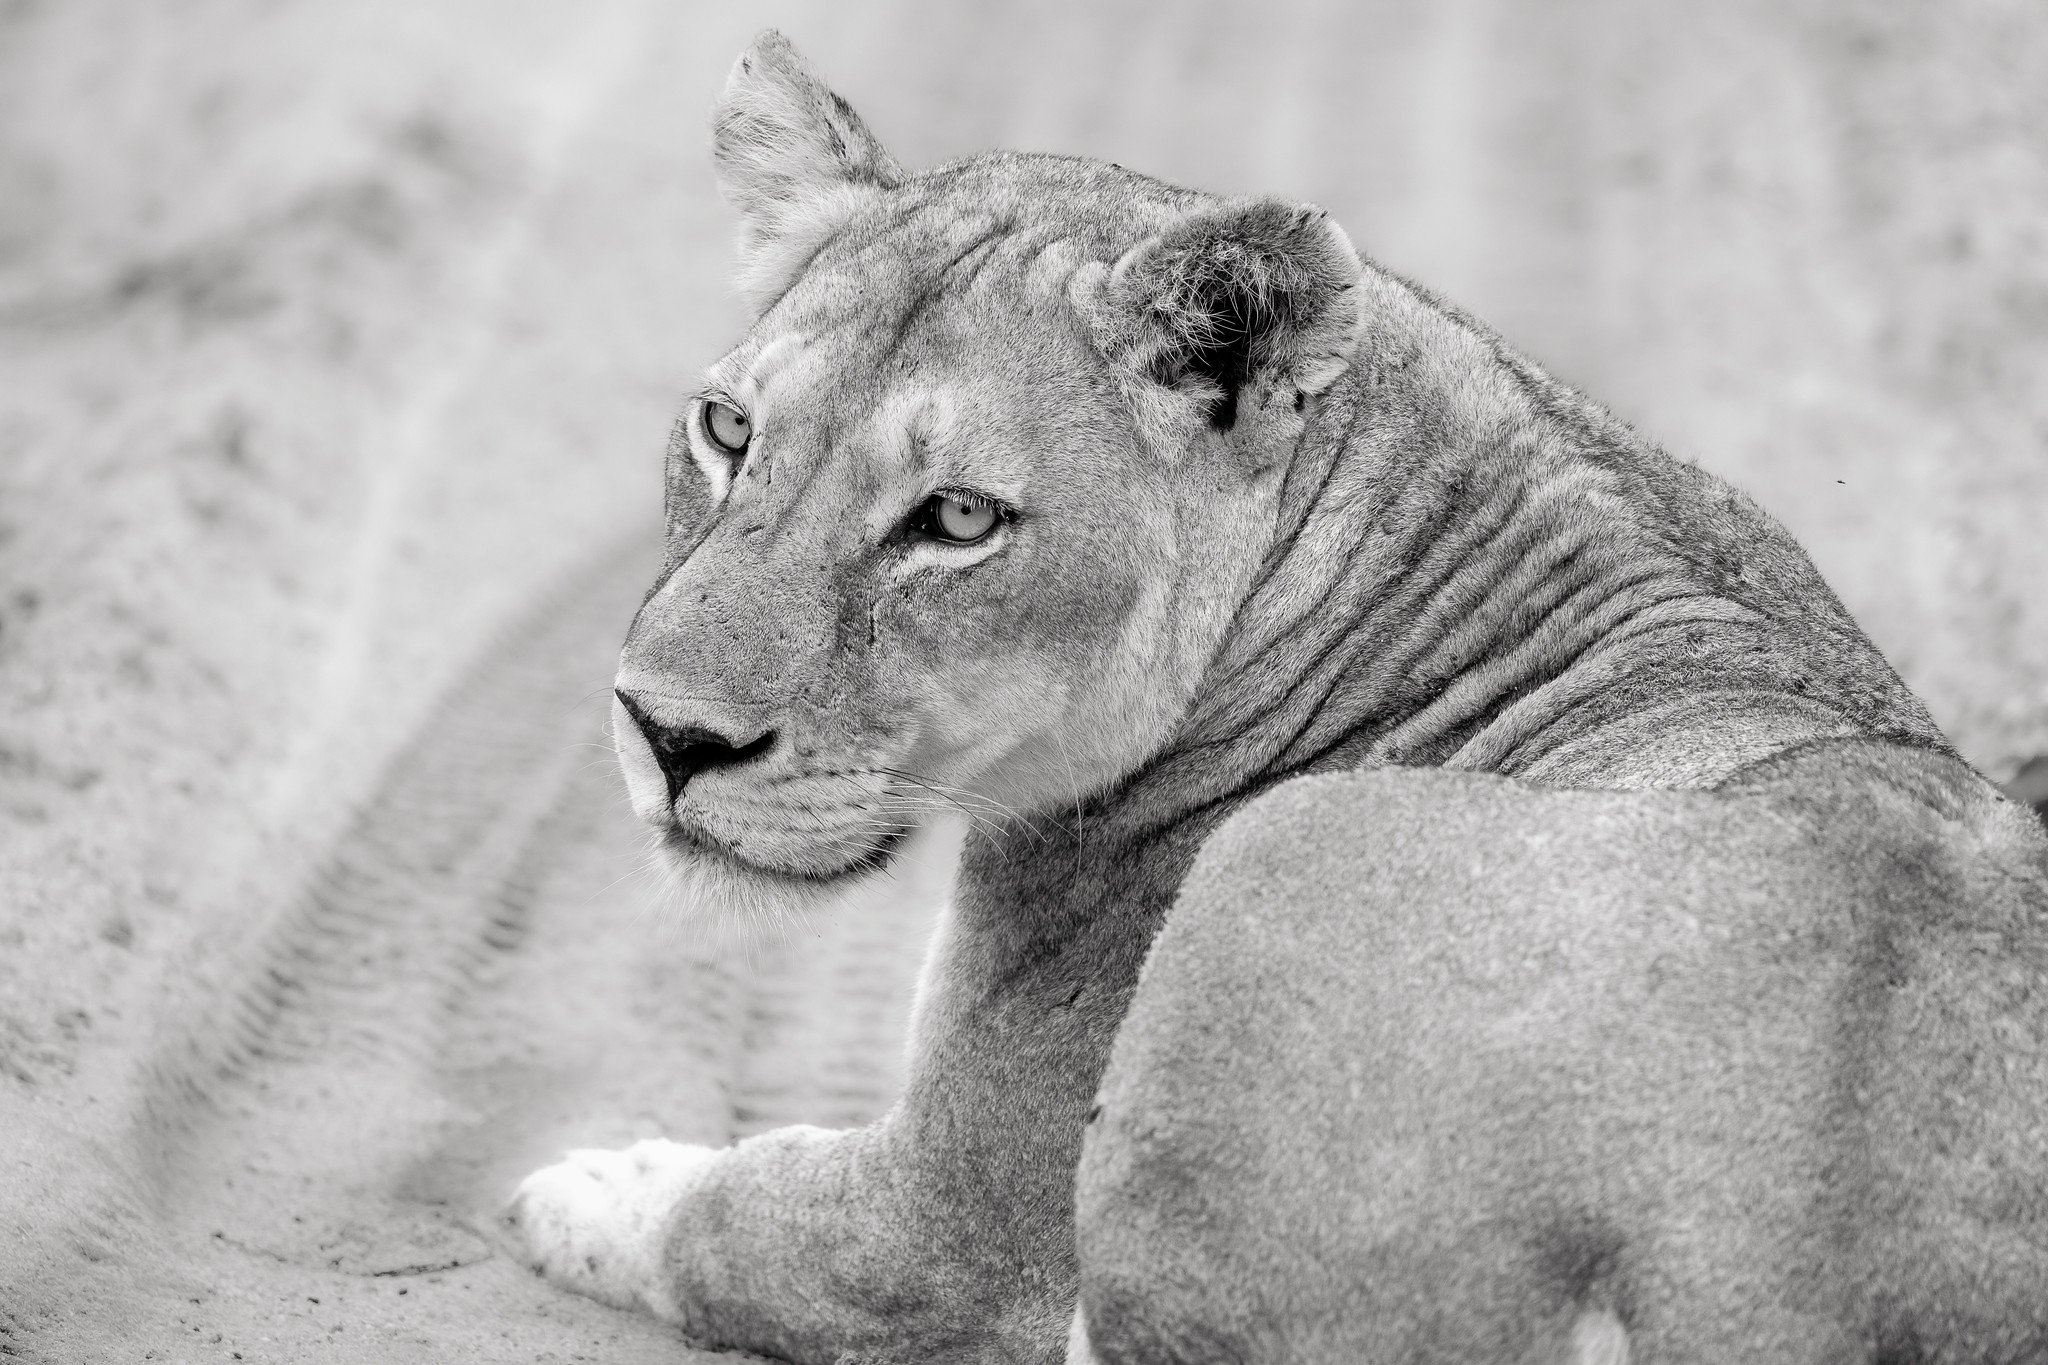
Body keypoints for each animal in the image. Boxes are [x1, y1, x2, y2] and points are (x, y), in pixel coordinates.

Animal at [503, 30, 2048, 1365]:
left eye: (957, 519)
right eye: (727, 429)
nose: (666, 736)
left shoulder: (945, 1229)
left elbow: (719, 1215)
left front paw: (569, 1189)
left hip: (1274, 863)